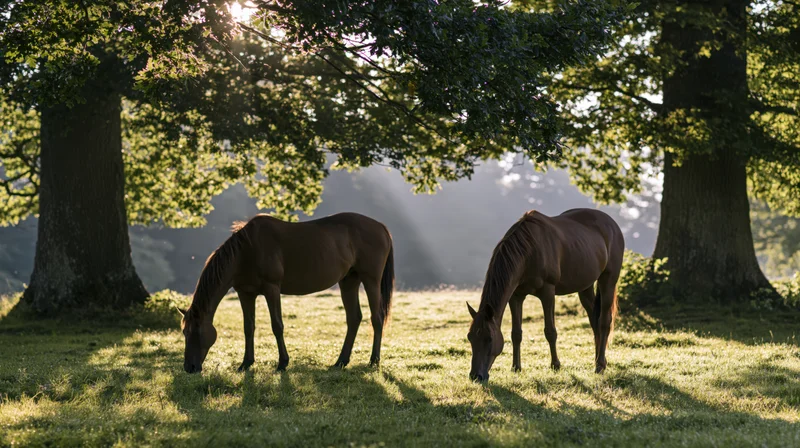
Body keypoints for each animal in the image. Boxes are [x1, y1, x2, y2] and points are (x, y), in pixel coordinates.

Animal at [178, 212, 394, 373]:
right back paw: (341, 361)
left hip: (370, 280)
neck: (246, 251)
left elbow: (277, 326)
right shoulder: (245, 293)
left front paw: (282, 363)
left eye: (196, 331)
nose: (189, 367)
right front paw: (246, 363)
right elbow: (248, 327)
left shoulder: (272, 289)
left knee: (376, 318)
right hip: (349, 281)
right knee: (354, 318)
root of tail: (381, 227)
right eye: (184, 332)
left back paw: (373, 360)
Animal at [467, 208, 624, 381]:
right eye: (470, 337)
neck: (528, 251)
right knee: (594, 322)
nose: (476, 376)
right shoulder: (516, 296)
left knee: (604, 322)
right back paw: (597, 361)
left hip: (608, 280)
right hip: (585, 286)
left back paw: (600, 365)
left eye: (489, 339)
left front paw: (555, 365)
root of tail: (613, 225)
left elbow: (550, 331)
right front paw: (516, 367)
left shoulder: (547, 293)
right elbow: (516, 333)